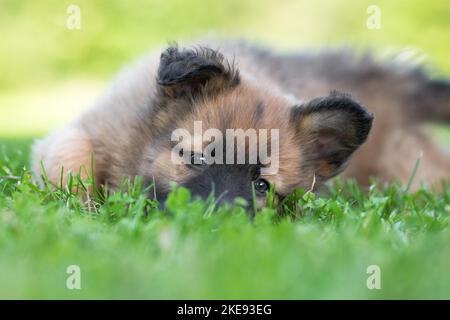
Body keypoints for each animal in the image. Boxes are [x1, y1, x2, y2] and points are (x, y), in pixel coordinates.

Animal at [33, 40, 450, 205]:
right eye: (197, 158)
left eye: (262, 185)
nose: (220, 217)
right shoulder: (91, 127)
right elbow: (70, 154)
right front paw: (82, 205)